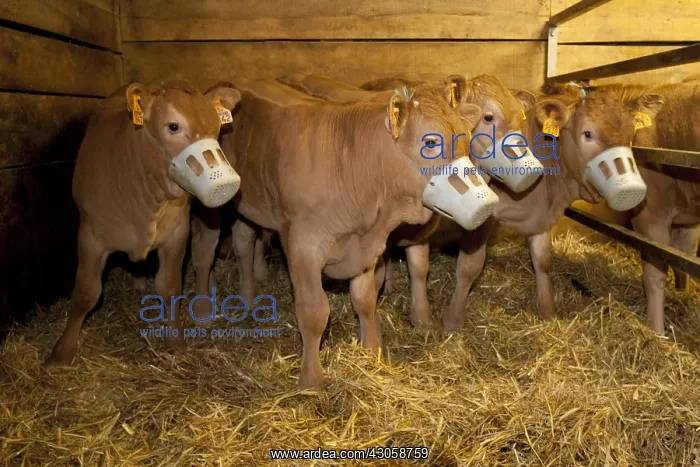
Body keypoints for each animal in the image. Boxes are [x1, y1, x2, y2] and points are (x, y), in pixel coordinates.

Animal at [44, 80, 242, 366]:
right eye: (173, 126)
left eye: (217, 127)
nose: (225, 182)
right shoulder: (90, 234)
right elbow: (85, 292)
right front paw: (61, 353)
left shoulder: (177, 232)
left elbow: (169, 286)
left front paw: (175, 341)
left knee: (204, 255)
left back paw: (204, 306)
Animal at [190, 76, 497, 388]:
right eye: (431, 142)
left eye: (464, 137)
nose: (486, 203)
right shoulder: (302, 246)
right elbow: (314, 312)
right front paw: (311, 380)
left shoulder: (367, 246)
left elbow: (365, 299)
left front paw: (371, 349)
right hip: (210, 204)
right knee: (206, 249)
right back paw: (206, 310)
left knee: (243, 242)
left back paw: (249, 297)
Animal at [548, 81, 698, 335]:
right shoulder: (685, 218)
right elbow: (681, 259)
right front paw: (681, 297)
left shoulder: (651, 214)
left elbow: (657, 274)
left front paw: (656, 331)